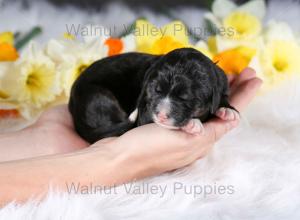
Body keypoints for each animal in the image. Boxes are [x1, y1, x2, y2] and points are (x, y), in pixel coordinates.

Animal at [68, 47, 239, 144]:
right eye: (156, 90)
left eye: (184, 97)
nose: (162, 115)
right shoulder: (145, 111)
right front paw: (192, 124)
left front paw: (227, 110)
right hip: (98, 98)